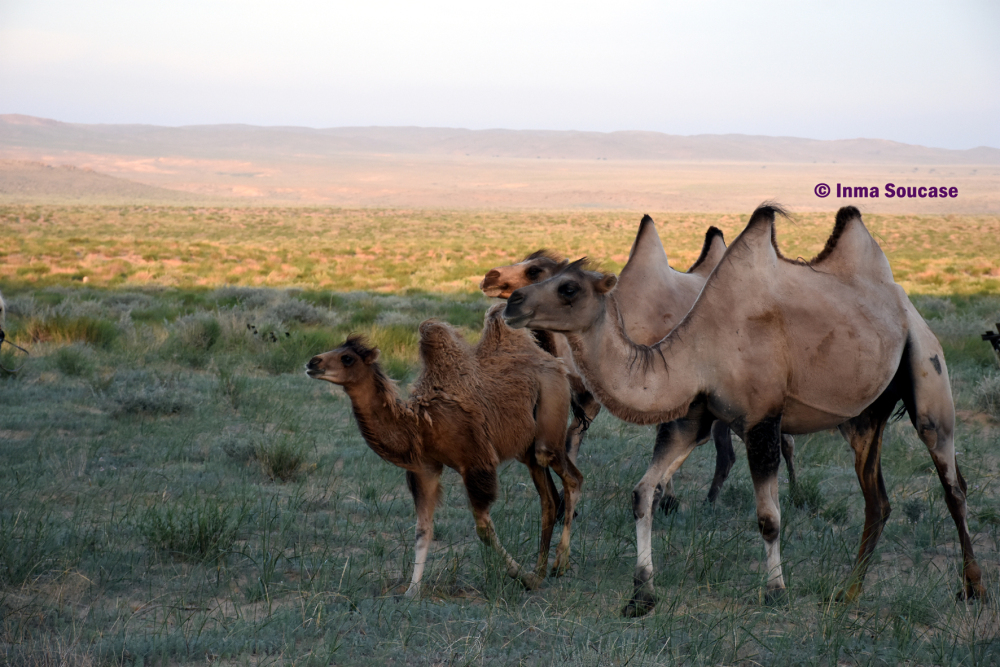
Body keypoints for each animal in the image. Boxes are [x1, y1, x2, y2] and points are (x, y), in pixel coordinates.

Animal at [308, 306, 584, 596]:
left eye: (347, 357)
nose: (313, 362)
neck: (421, 426)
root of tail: (555, 363)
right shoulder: (425, 469)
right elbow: (422, 530)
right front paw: (412, 591)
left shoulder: (476, 463)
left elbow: (483, 530)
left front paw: (519, 574)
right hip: (527, 451)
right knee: (549, 499)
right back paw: (541, 572)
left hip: (550, 418)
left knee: (573, 478)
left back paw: (558, 564)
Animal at [504, 202, 988, 616]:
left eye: (567, 287)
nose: (512, 302)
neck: (699, 350)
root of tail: (905, 303)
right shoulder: (691, 420)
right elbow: (643, 493)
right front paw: (641, 594)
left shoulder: (762, 421)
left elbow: (769, 517)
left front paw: (775, 591)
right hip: (863, 415)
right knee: (878, 500)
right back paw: (847, 593)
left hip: (927, 371)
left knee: (952, 485)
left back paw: (973, 588)